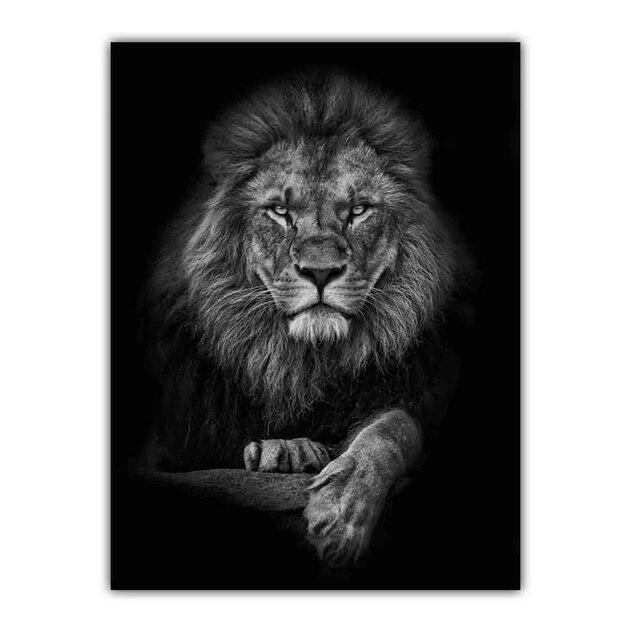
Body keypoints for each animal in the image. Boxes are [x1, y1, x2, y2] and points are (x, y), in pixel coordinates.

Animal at [144, 71, 470, 566]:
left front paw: (342, 511)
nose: (319, 271)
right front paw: (287, 450)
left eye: (358, 210)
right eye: (280, 211)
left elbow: (395, 428)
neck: (305, 362)